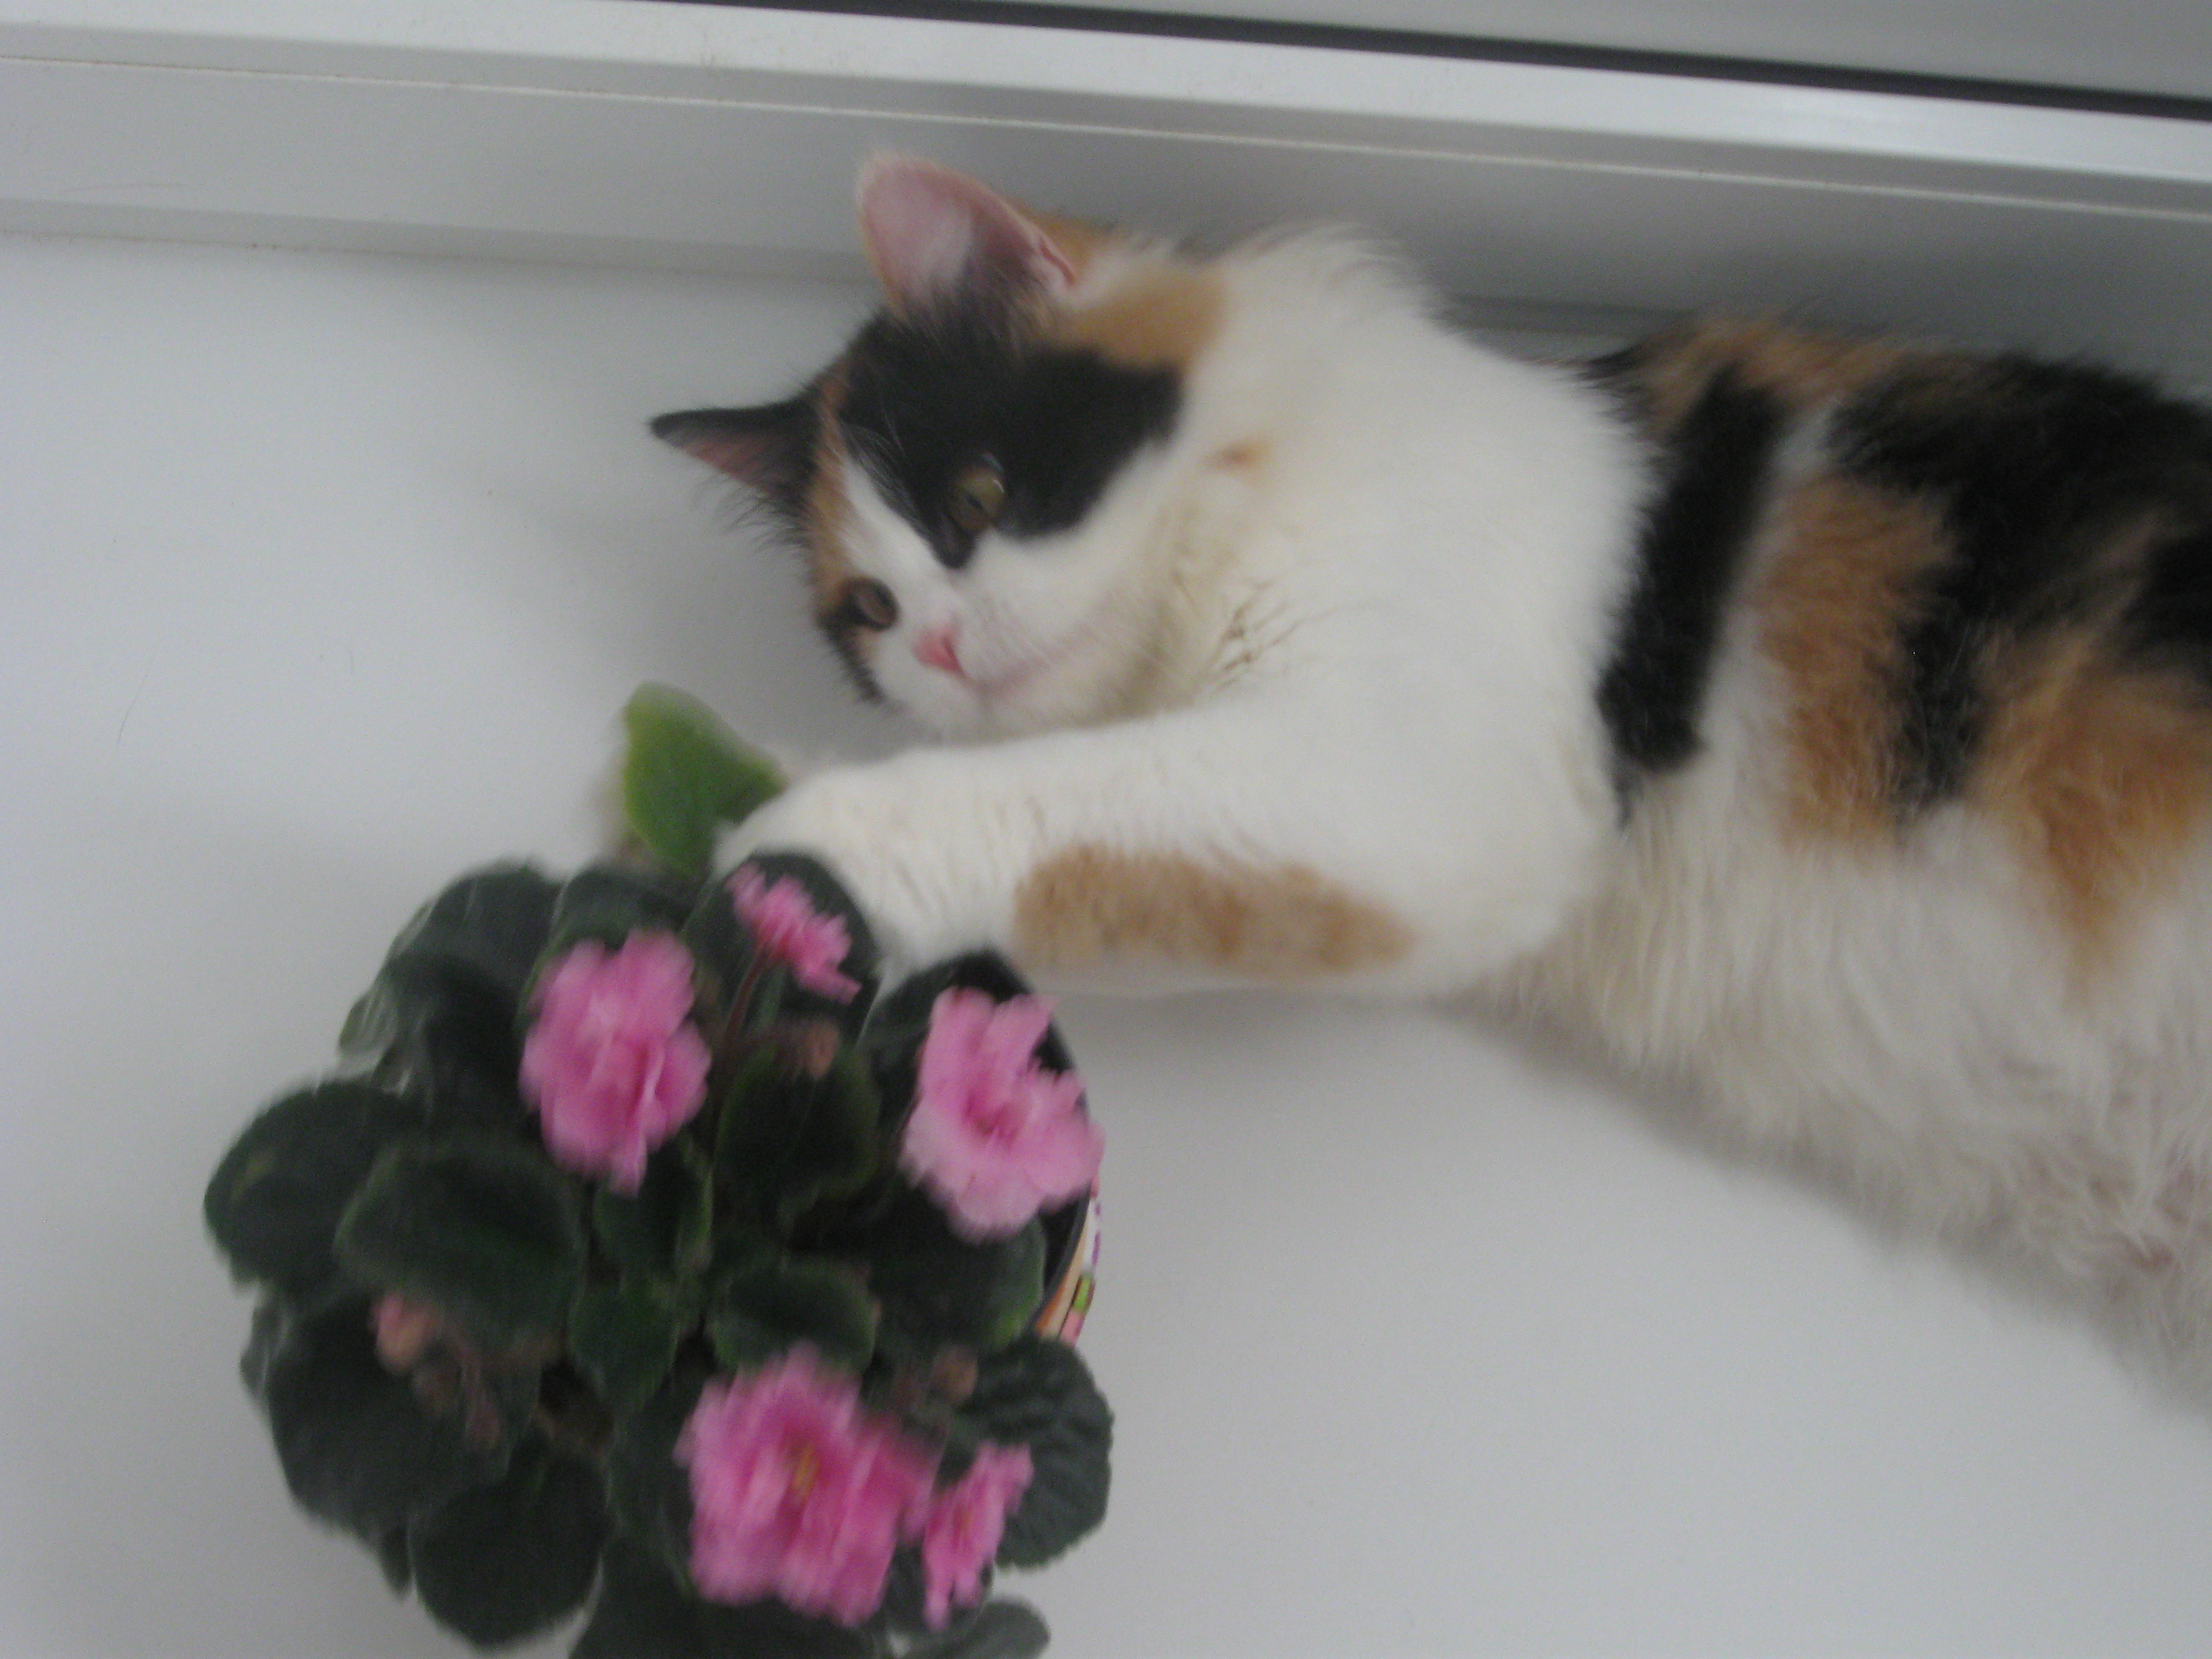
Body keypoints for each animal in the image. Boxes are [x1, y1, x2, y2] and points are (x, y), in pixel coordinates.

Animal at [653, 153, 2212, 1393]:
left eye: (975, 500)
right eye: (866, 610)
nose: (936, 643)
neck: (1251, 475)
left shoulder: (1412, 767)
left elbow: (1054, 799)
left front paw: (783, 833)